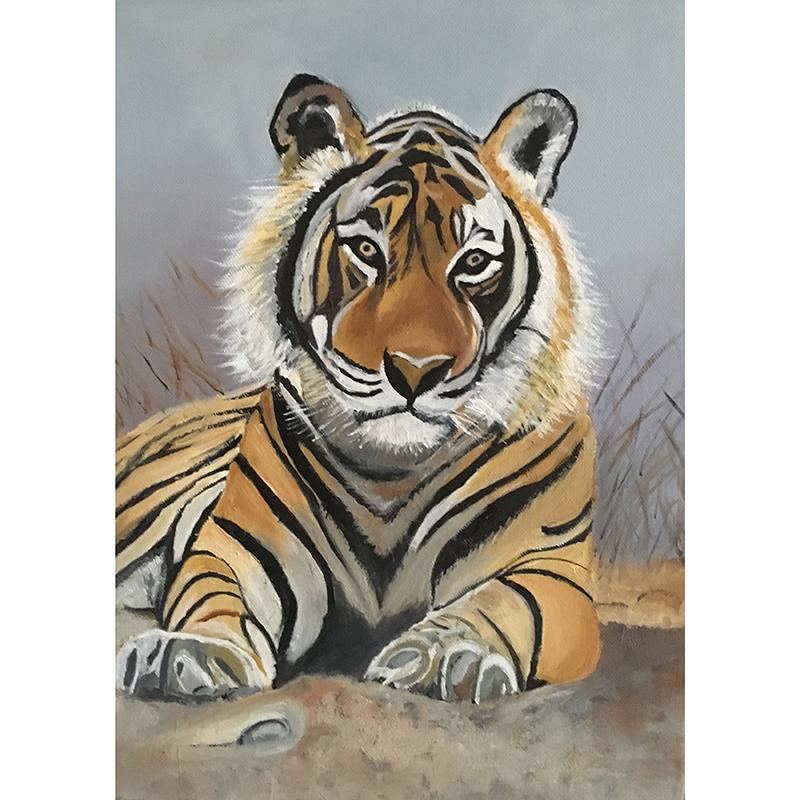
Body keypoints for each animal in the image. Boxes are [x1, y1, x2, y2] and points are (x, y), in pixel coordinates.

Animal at [116, 74, 602, 705]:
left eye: (473, 262)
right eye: (367, 250)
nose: (417, 370)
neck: (391, 476)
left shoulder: (548, 566)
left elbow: (502, 602)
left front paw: (447, 656)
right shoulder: (243, 542)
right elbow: (217, 597)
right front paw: (192, 651)